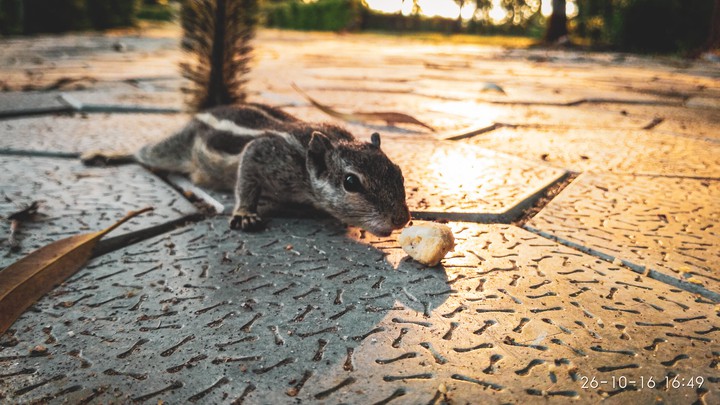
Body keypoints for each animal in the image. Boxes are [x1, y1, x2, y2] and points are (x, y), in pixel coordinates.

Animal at [83, 0, 410, 236]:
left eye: (398, 172)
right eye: (351, 182)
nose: (401, 219)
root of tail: (215, 107)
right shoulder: (265, 154)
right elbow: (247, 176)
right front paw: (244, 213)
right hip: (175, 149)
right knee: (146, 153)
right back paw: (107, 156)